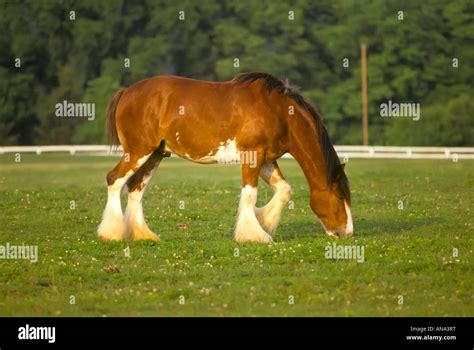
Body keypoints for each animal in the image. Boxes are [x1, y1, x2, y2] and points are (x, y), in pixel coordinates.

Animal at [98, 71, 352, 243]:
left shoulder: (266, 159)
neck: (278, 111)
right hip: (137, 152)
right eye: (340, 196)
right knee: (114, 180)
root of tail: (126, 92)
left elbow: (283, 190)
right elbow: (250, 195)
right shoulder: (253, 155)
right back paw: (111, 233)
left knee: (135, 187)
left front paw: (264, 223)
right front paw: (253, 235)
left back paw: (142, 234)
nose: (347, 232)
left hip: (155, 155)